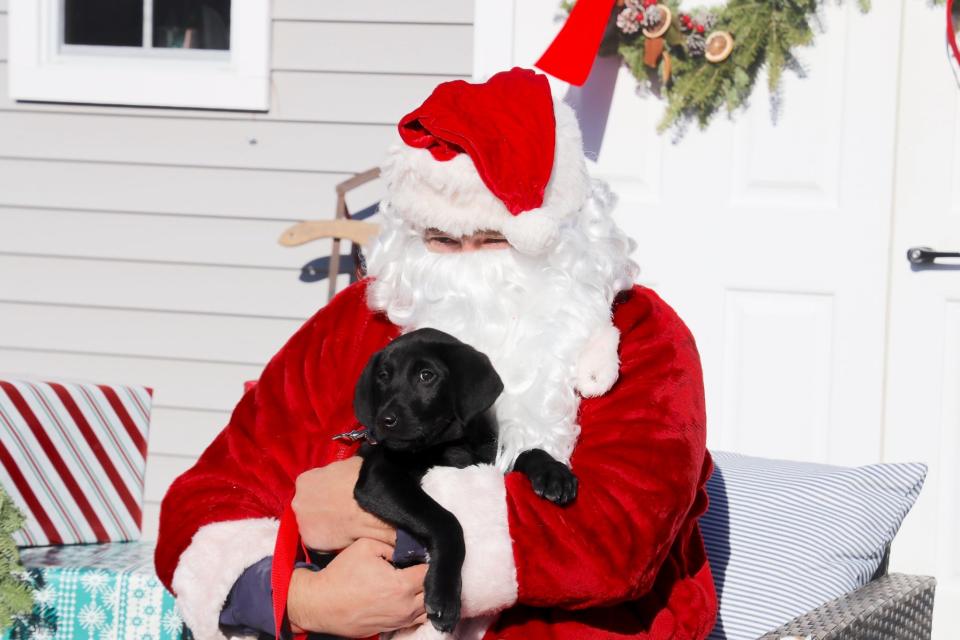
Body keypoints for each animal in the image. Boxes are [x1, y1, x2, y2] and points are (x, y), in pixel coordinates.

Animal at [352, 328, 576, 632]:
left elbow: (526, 453)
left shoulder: (486, 461)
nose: (383, 420)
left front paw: (554, 472)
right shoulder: (378, 478)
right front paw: (444, 594)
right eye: (383, 376)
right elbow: (447, 521)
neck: (449, 445)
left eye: (426, 375)